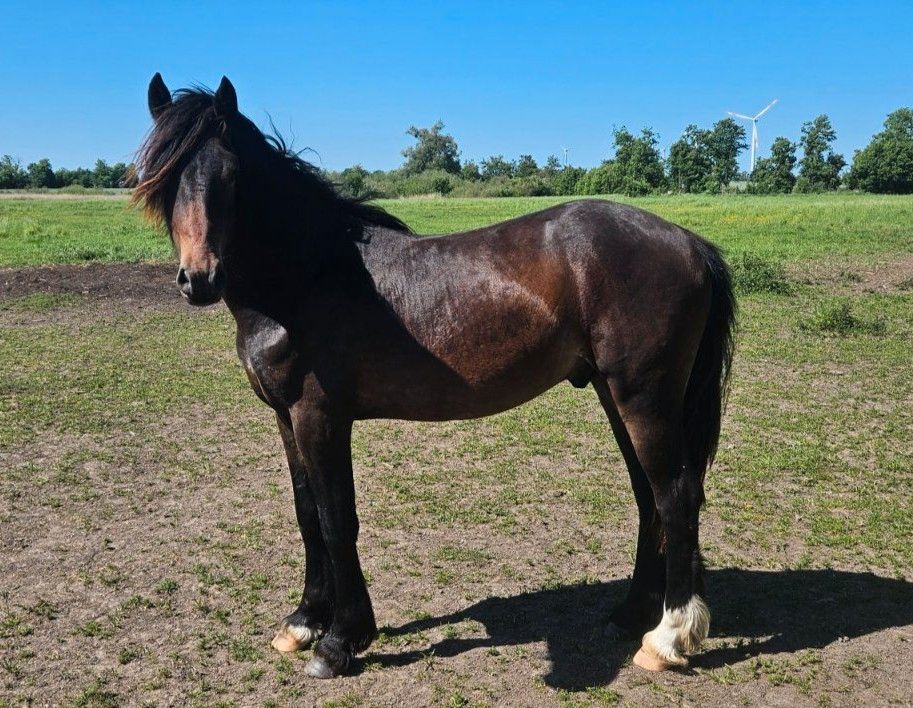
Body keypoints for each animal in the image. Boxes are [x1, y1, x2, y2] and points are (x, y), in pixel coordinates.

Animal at [135, 76, 732, 680]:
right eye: (161, 180)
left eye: (233, 177)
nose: (200, 279)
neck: (307, 279)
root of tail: (690, 244)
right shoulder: (286, 419)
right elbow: (308, 517)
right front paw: (303, 622)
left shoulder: (319, 417)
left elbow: (336, 519)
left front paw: (341, 640)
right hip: (619, 398)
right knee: (649, 497)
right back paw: (630, 614)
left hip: (644, 399)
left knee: (675, 495)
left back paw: (667, 637)